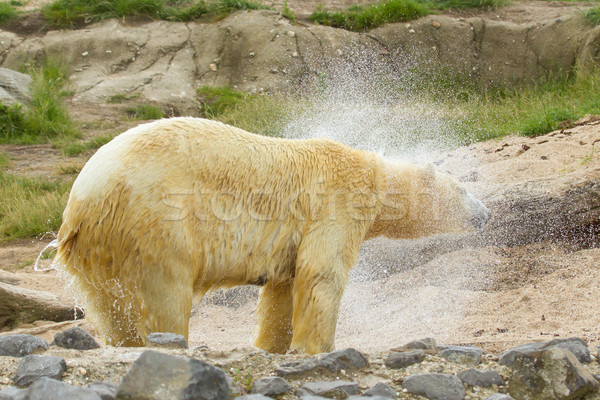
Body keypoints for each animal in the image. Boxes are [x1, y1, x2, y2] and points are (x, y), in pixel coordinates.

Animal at [54, 117, 490, 354]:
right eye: (464, 189)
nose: (486, 215)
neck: (373, 176)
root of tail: (82, 199)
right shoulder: (333, 203)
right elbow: (321, 274)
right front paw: (319, 347)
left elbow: (285, 287)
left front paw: (270, 345)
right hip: (158, 221)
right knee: (164, 294)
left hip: (99, 251)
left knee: (111, 306)